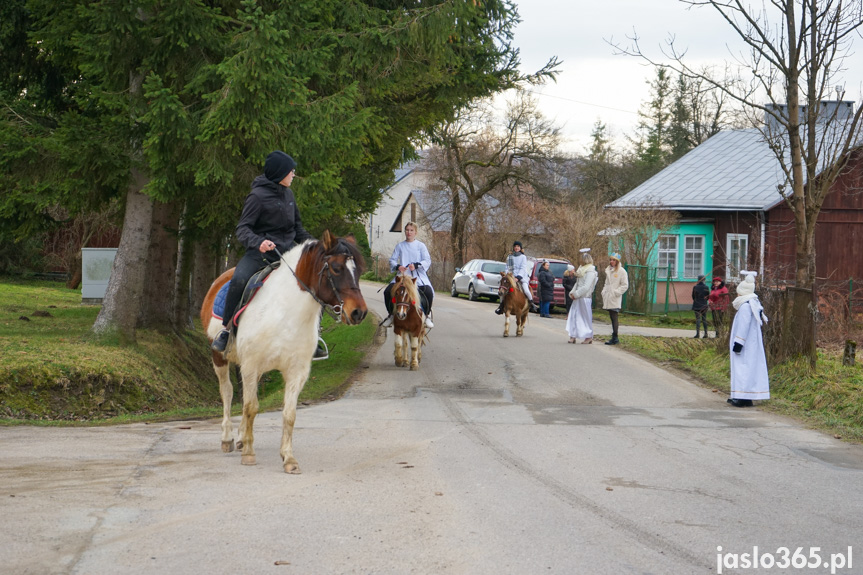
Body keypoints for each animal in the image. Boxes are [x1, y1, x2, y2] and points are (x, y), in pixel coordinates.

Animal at [201, 232, 366, 474]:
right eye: (336, 268)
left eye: (359, 270)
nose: (359, 313)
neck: (285, 313)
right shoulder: (251, 365)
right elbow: (251, 407)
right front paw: (249, 453)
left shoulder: (296, 371)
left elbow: (289, 414)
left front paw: (288, 458)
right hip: (219, 358)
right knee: (228, 392)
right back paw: (228, 438)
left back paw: (240, 438)